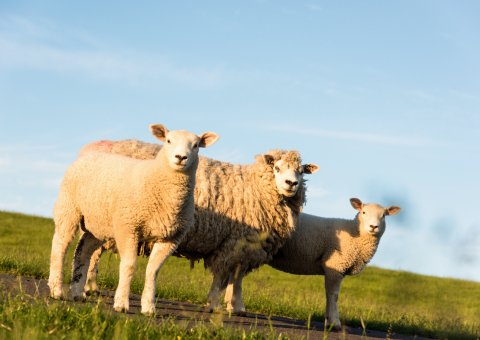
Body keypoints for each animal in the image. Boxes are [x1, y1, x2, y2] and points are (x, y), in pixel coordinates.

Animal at [46, 124, 218, 314]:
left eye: (196, 145)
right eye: (168, 141)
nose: (181, 157)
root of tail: (88, 154)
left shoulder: (171, 238)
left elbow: (153, 271)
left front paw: (149, 307)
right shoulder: (128, 227)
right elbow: (129, 265)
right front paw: (121, 303)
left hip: (99, 223)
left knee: (83, 250)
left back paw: (76, 291)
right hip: (69, 208)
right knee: (60, 245)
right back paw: (56, 290)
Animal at [79, 139, 318, 314]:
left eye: (301, 171)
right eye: (277, 168)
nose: (291, 184)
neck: (257, 187)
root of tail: (94, 147)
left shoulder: (246, 247)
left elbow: (237, 277)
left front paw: (236, 306)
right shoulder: (234, 243)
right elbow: (222, 276)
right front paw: (215, 304)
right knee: (93, 253)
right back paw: (89, 287)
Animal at [262, 198, 402, 328]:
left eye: (383, 216)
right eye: (364, 212)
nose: (373, 227)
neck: (355, 233)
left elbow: (330, 294)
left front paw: (328, 321)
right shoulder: (335, 265)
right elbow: (333, 295)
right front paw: (334, 323)